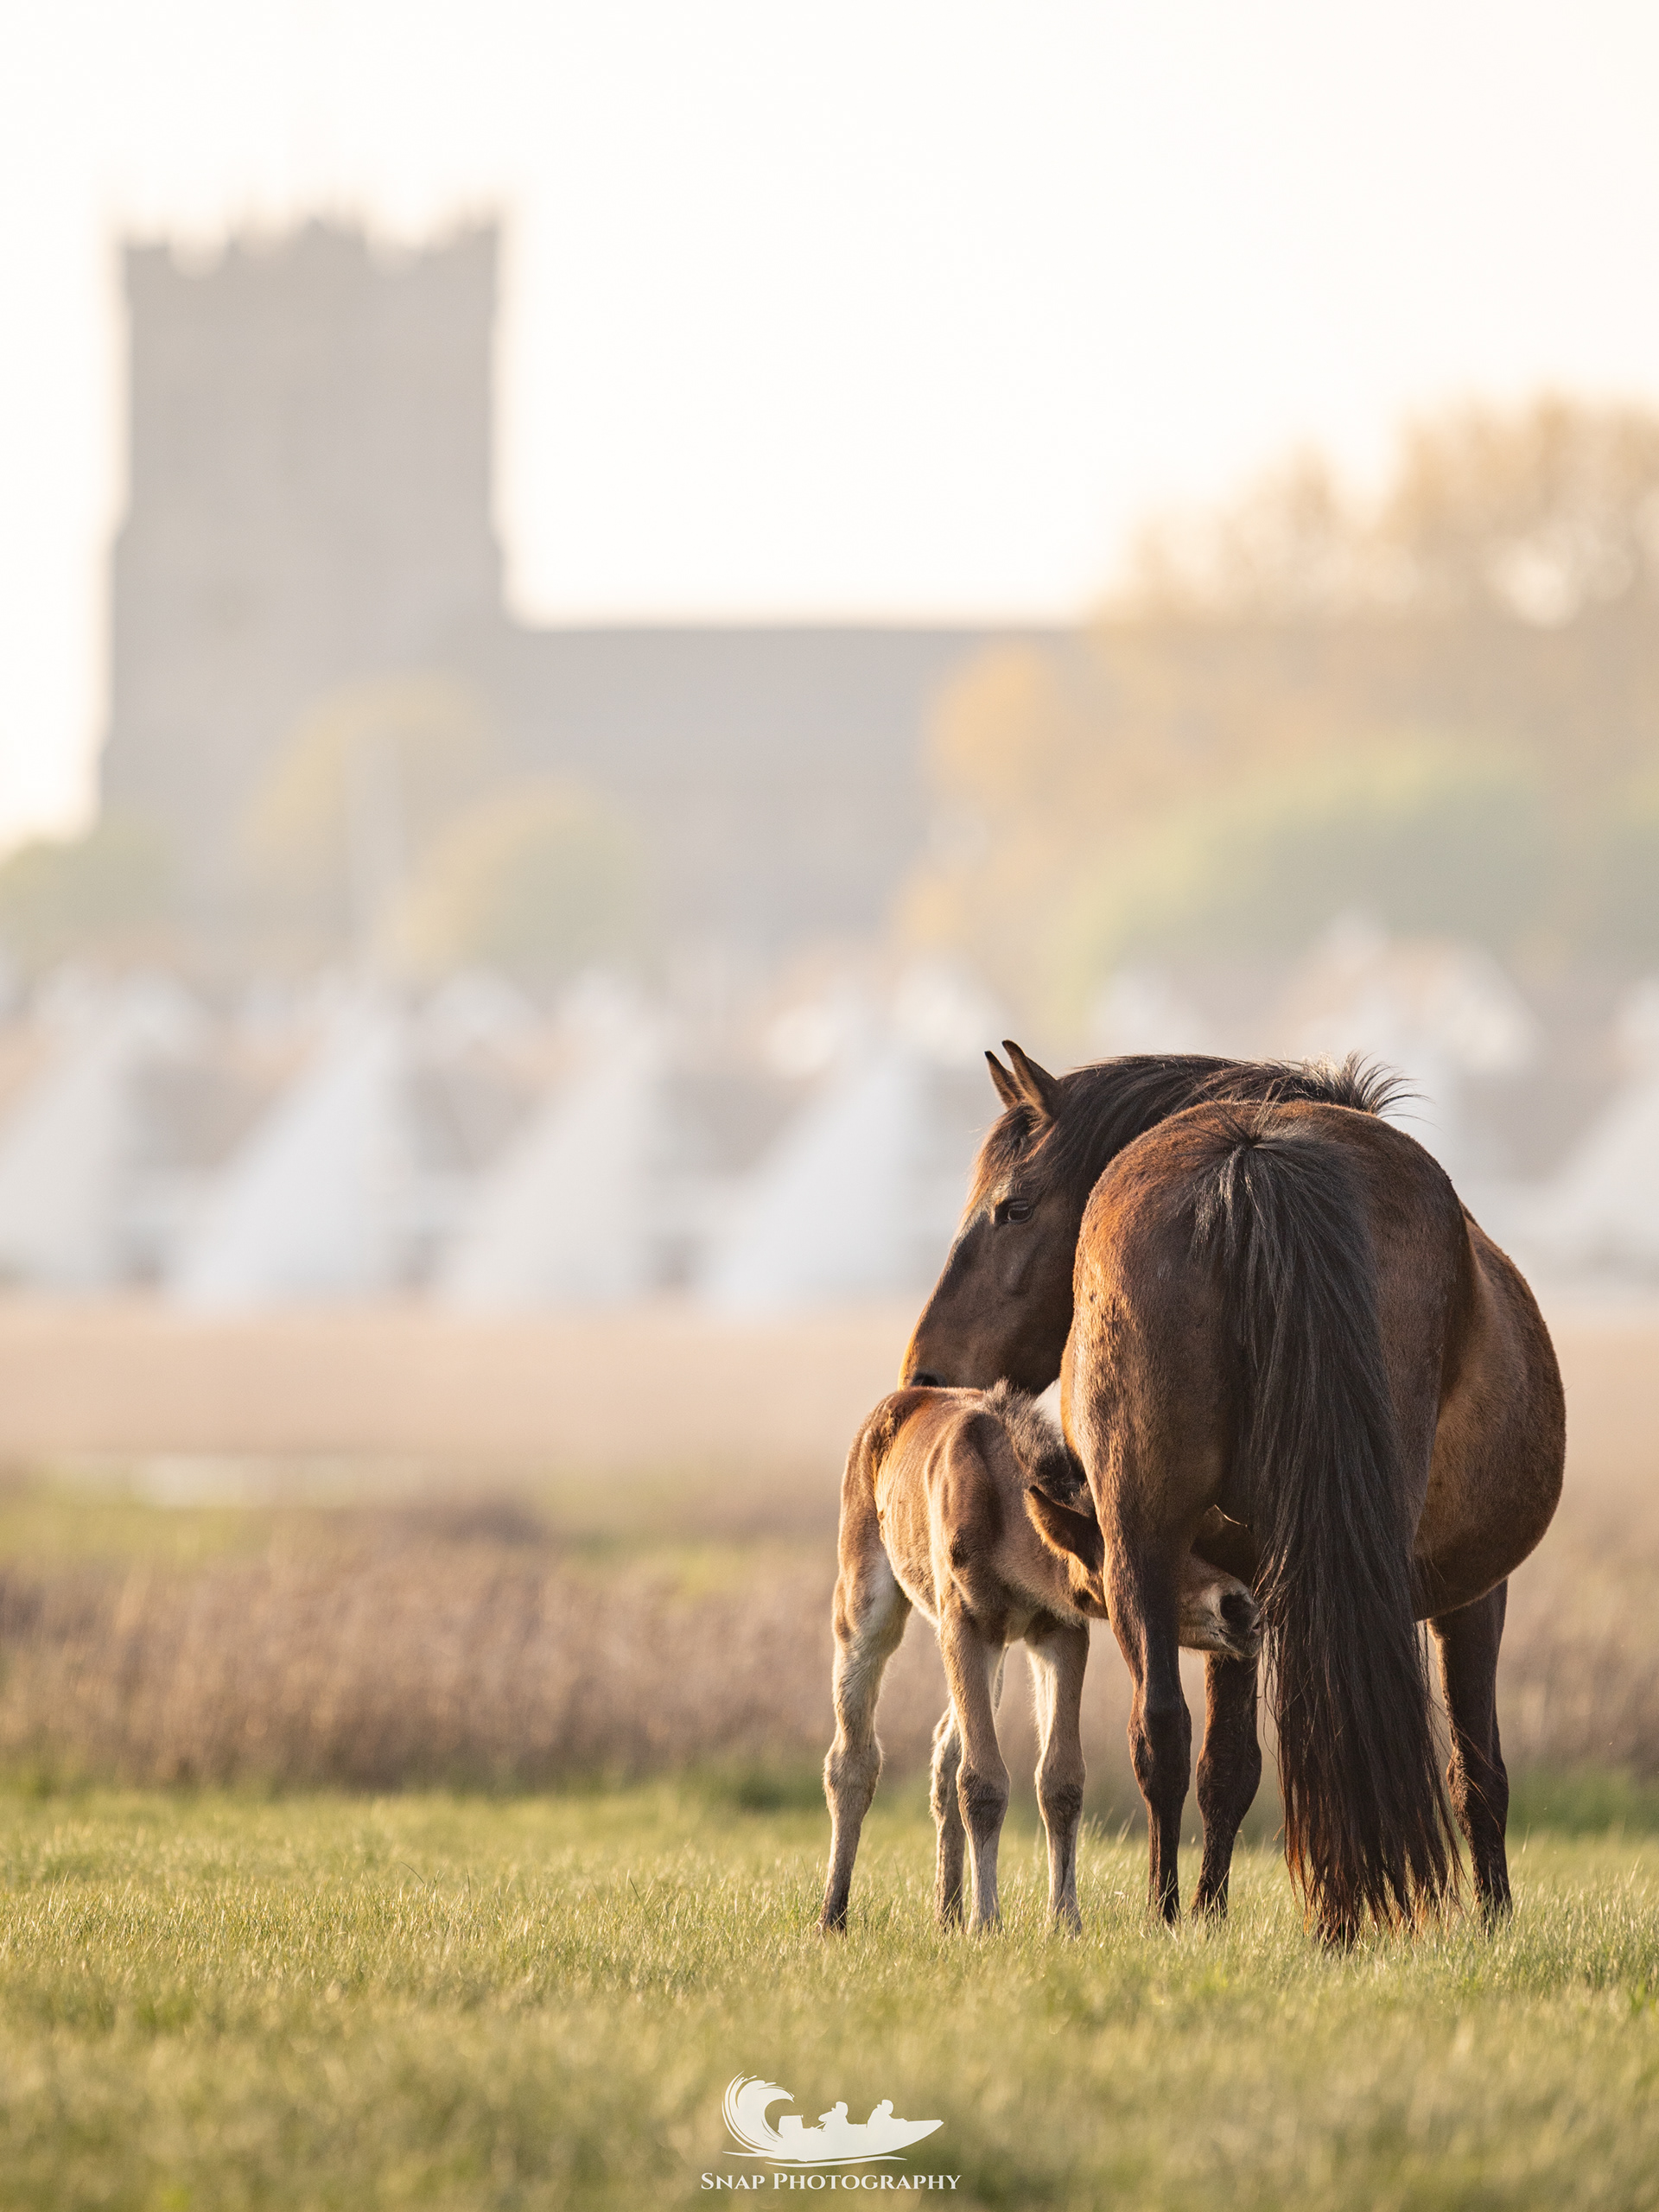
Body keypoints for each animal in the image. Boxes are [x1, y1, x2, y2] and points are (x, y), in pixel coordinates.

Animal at [819, 1379, 1261, 1936]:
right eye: (1135, 1561)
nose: (1241, 1608)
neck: (1009, 1520)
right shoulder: (966, 1626)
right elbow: (982, 1782)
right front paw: (986, 1923)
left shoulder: (1061, 1632)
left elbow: (1060, 1780)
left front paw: (1065, 1921)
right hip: (867, 1604)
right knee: (852, 1758)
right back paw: (833, 1915)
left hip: (996, 1657)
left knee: (945, 1751)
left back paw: (947, 1913)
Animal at [901, 1048, 1564, 1942]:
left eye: (1012, 1208)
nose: (926, 1373)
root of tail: (1253, 1157)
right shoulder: (1468, 1591)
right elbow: (1474, 1765)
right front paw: (1492, 1920)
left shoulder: (1225, 1582)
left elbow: (1227, 1765)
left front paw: (1210, 1911)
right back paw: (1328, 1917)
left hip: (1143, 1534)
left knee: (1162, 1733)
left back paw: (1175, 1912)